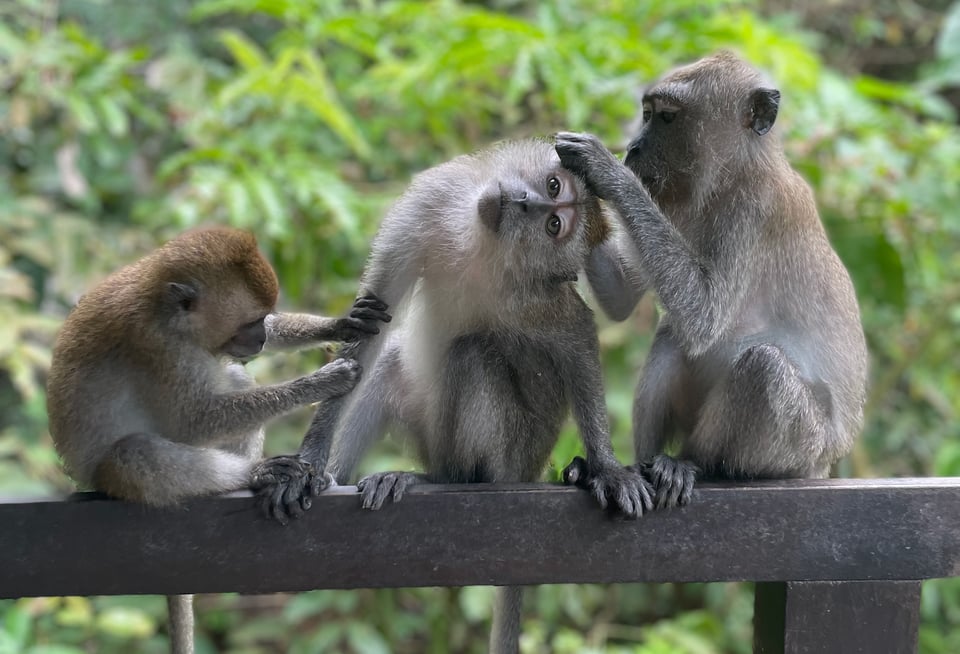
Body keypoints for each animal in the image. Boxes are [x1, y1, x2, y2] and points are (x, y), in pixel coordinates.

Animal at [45, 226, 389, 654]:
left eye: (262, 319)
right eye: (249, 322)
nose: (260, 338)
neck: (166, 311)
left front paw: (343, 324)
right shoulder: (157, 347)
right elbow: (192, 421)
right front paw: (320, 382)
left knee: (236, 379)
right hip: (106, 478)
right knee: (133, 456)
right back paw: (254, 474)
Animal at [255, 138, 653, 654]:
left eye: (553, 225)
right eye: (552, 186)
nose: (521, 201)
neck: (481, 239)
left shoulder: (533, 295)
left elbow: (577, 337)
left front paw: (605, 468)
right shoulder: (428, 205)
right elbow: (371, 327)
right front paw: (307, 467)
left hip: (510, 455)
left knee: (473, 355)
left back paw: (443, 478)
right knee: (390, 362)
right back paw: (335, 478)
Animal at [555, 51, 868, 508]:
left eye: (666, 118)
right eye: (646, 114)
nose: (632, 148)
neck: (725, 180)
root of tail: (826, 462)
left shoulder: (752, 209)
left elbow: (706, 316)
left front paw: (607, 173)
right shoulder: (674, 206)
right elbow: (623, 299)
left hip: (801, 448)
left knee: (762, 366)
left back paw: (693, 465)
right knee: (672, 334)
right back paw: (632, 466)